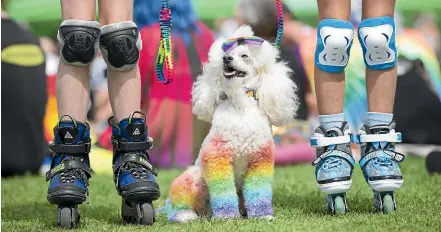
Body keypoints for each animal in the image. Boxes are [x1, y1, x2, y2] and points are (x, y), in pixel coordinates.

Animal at [166, 25, 300, 223]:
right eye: (226, 55)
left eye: (244, 56)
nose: (226, 59)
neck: (240, 105)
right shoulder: (217, 158)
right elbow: (223, 193)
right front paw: (227, 217)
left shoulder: (260, 160)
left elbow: (258, 192)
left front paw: (262, 215)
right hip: (194, 178)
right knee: (183, 203)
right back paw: (186, 215)